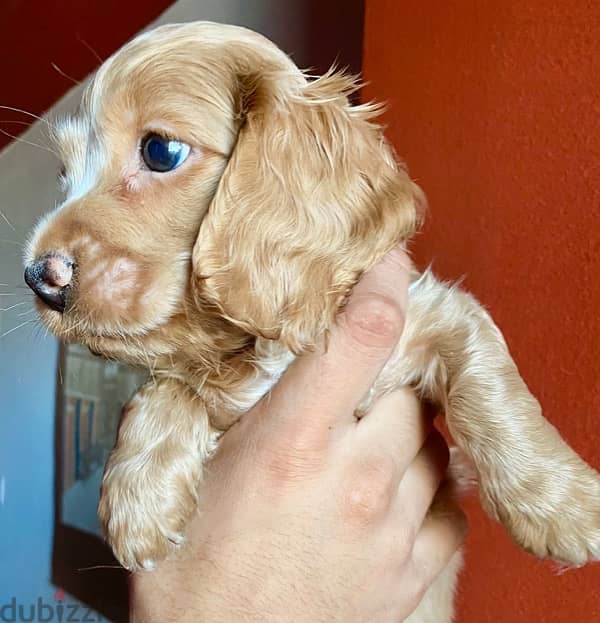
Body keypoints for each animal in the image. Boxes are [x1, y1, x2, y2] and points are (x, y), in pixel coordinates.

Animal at [24, 20, 600, 623]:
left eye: (162, 151)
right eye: (64, 174)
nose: (38, 276)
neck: (264, 346)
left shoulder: (436, 315)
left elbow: (486, 385)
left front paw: (562, 503)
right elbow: (164, 387)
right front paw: (139, 496)